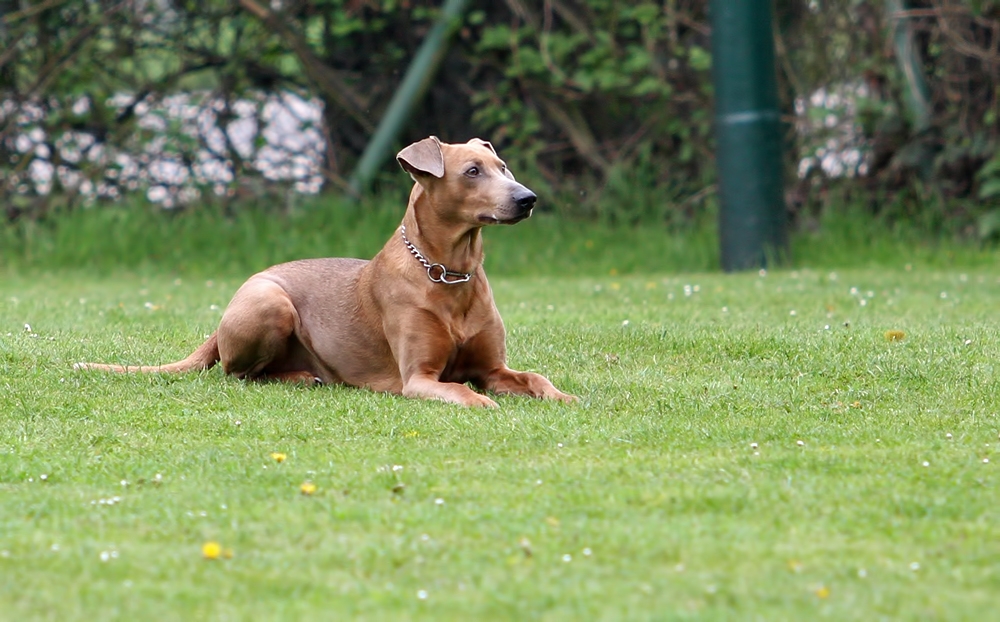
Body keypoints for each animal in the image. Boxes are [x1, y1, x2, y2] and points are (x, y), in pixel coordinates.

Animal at [76, 137, 580, 410]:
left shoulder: (493, 367)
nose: (528, 199)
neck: (447, 273)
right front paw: (480, 401)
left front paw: (561, 396)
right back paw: (300, 377)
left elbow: (534, 377)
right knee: (235, 374)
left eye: (503, 167)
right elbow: (458, 388)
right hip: (270, 304)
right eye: (473, 171)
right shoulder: (418, 378)